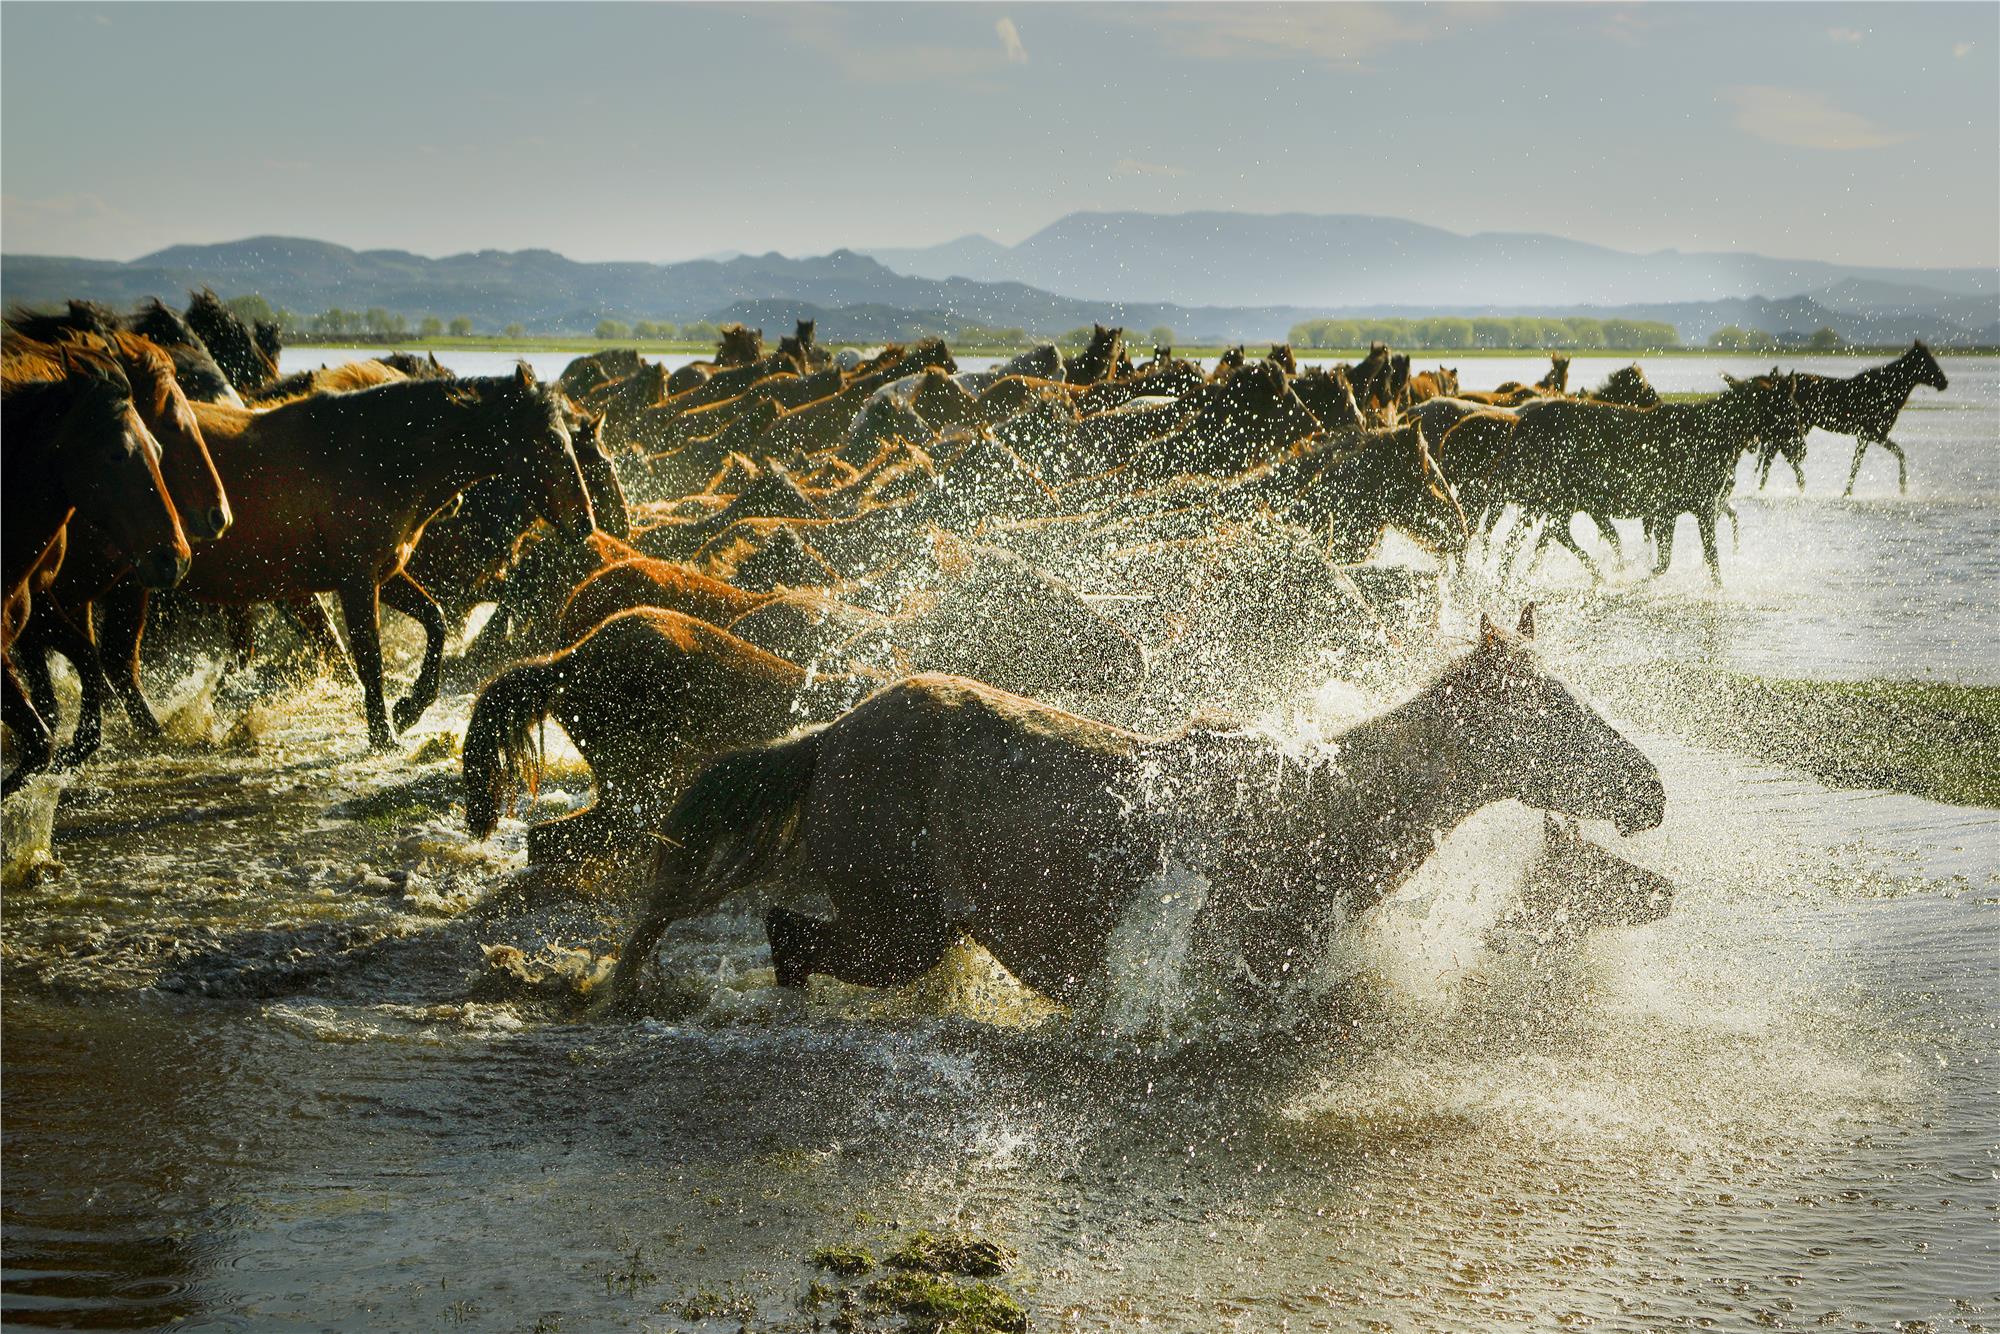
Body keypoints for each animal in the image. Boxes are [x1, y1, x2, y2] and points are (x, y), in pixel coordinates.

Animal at [92, 366, 596, 748]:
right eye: (552, 441)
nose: (586, 522)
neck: (377, 455)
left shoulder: (383, 574)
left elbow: (434, 621)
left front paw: (409, 709)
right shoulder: (356, 582)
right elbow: (371, 657)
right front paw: (383, 734)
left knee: (118, 665)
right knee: (116, 663)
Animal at [605, 608, 1666, 1012]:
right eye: (1552, 709)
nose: (1651, 791)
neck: (1328, 811)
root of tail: (827, 739)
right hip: (893, 925)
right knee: (790, 939)